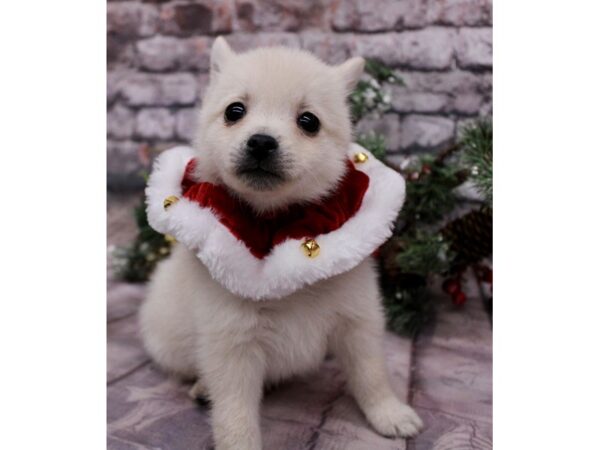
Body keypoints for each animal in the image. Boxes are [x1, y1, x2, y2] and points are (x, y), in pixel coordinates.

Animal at [139, 37, 424, 448]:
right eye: (235, 111)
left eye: (309, 121)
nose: (261, 142)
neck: (275, 220)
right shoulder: (232, 341)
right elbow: (235, 413)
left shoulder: (357, 319)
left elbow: (371, 372)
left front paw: (389, 412)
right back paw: (201, 388)